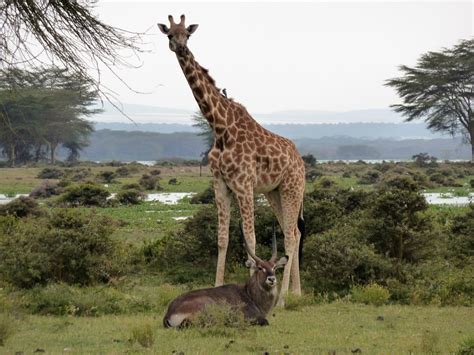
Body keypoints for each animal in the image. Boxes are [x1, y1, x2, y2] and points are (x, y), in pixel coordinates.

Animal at [159, 14, 306, 304]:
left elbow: (250, 239)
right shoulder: (220, 184)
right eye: (169, 34)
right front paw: (216, 286)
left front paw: (256, 287)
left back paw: (284, 296)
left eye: (187, 34)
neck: (219, 127)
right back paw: (297, 292)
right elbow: (222, 239)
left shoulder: (244, 185)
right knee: (292, 232)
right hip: (274, 191)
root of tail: (302, 162)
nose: (179, 47)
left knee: (291, 237)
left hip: (291, 188)